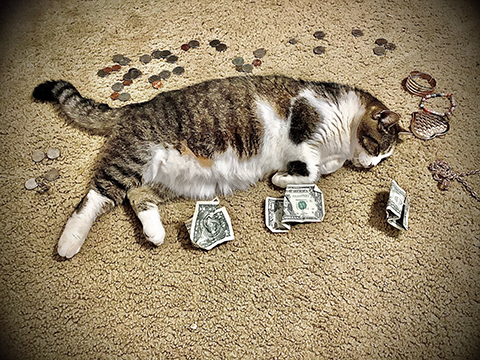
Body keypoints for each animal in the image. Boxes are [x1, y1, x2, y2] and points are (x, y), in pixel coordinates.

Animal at [31, 74, 404, 258]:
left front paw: (295, 175)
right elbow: (309, 169)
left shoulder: (326, 155)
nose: (371, 165)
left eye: (383, 157)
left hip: (164, 180)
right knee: (94, 198)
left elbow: (322, 169)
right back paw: (69, 243)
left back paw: (154, 232)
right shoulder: (301, 127)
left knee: (136, 195)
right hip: (132, 159)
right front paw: (282, 178)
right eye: (378, 148)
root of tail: (132, 108)